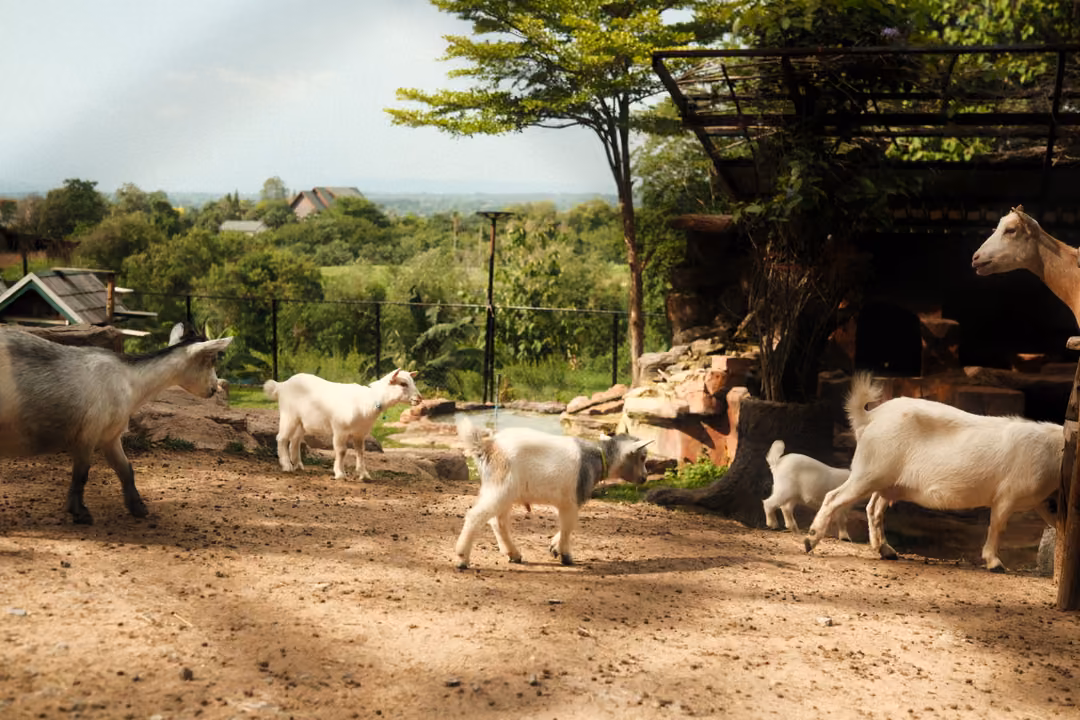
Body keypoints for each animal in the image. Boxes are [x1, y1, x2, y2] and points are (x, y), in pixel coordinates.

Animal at [0, 323, 232, 524]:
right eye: (211, 359)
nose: (214, 389)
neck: (130, 379)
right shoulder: (88, 433)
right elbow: (81, 473)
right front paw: (80, 513)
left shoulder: (110, 437)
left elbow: (125, 469)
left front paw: (138, 508)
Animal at [263, 369, 421, 480]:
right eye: (403, 384)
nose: (419, 399)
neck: (369, 400)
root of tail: (281, 385)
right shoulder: (340, 429)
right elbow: (342, 451)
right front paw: (340, 474)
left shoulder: (360, 433)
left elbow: (360, 452)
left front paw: (364, 474)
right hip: (288, 415)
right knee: (282, 438)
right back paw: (286, 466)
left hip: (302, 422)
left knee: (295, 440)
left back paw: (298, 465)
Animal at [453, 417, 651, 568]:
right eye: (642, 457)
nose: (645, 478)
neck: (598, 457)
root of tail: (486, 447)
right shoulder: (571, 501)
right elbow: (568, 527)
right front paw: (565, 556)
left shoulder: (564, 503)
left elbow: (564, 527)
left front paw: (554, 547)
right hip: (501, 488)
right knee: (476, 516)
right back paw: (462, 559)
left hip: (502, 492)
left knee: (498, 522)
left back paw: (514, 554)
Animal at [803, 372, 1061, 572]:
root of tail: (870, 416)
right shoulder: (1007, 495)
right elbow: (998, 526)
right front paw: (996, 565)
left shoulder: (1043, 501)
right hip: (869, 470)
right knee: (834, 496)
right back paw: (809, 541)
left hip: (887, 481)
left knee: (873, 507)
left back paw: (888, 552)